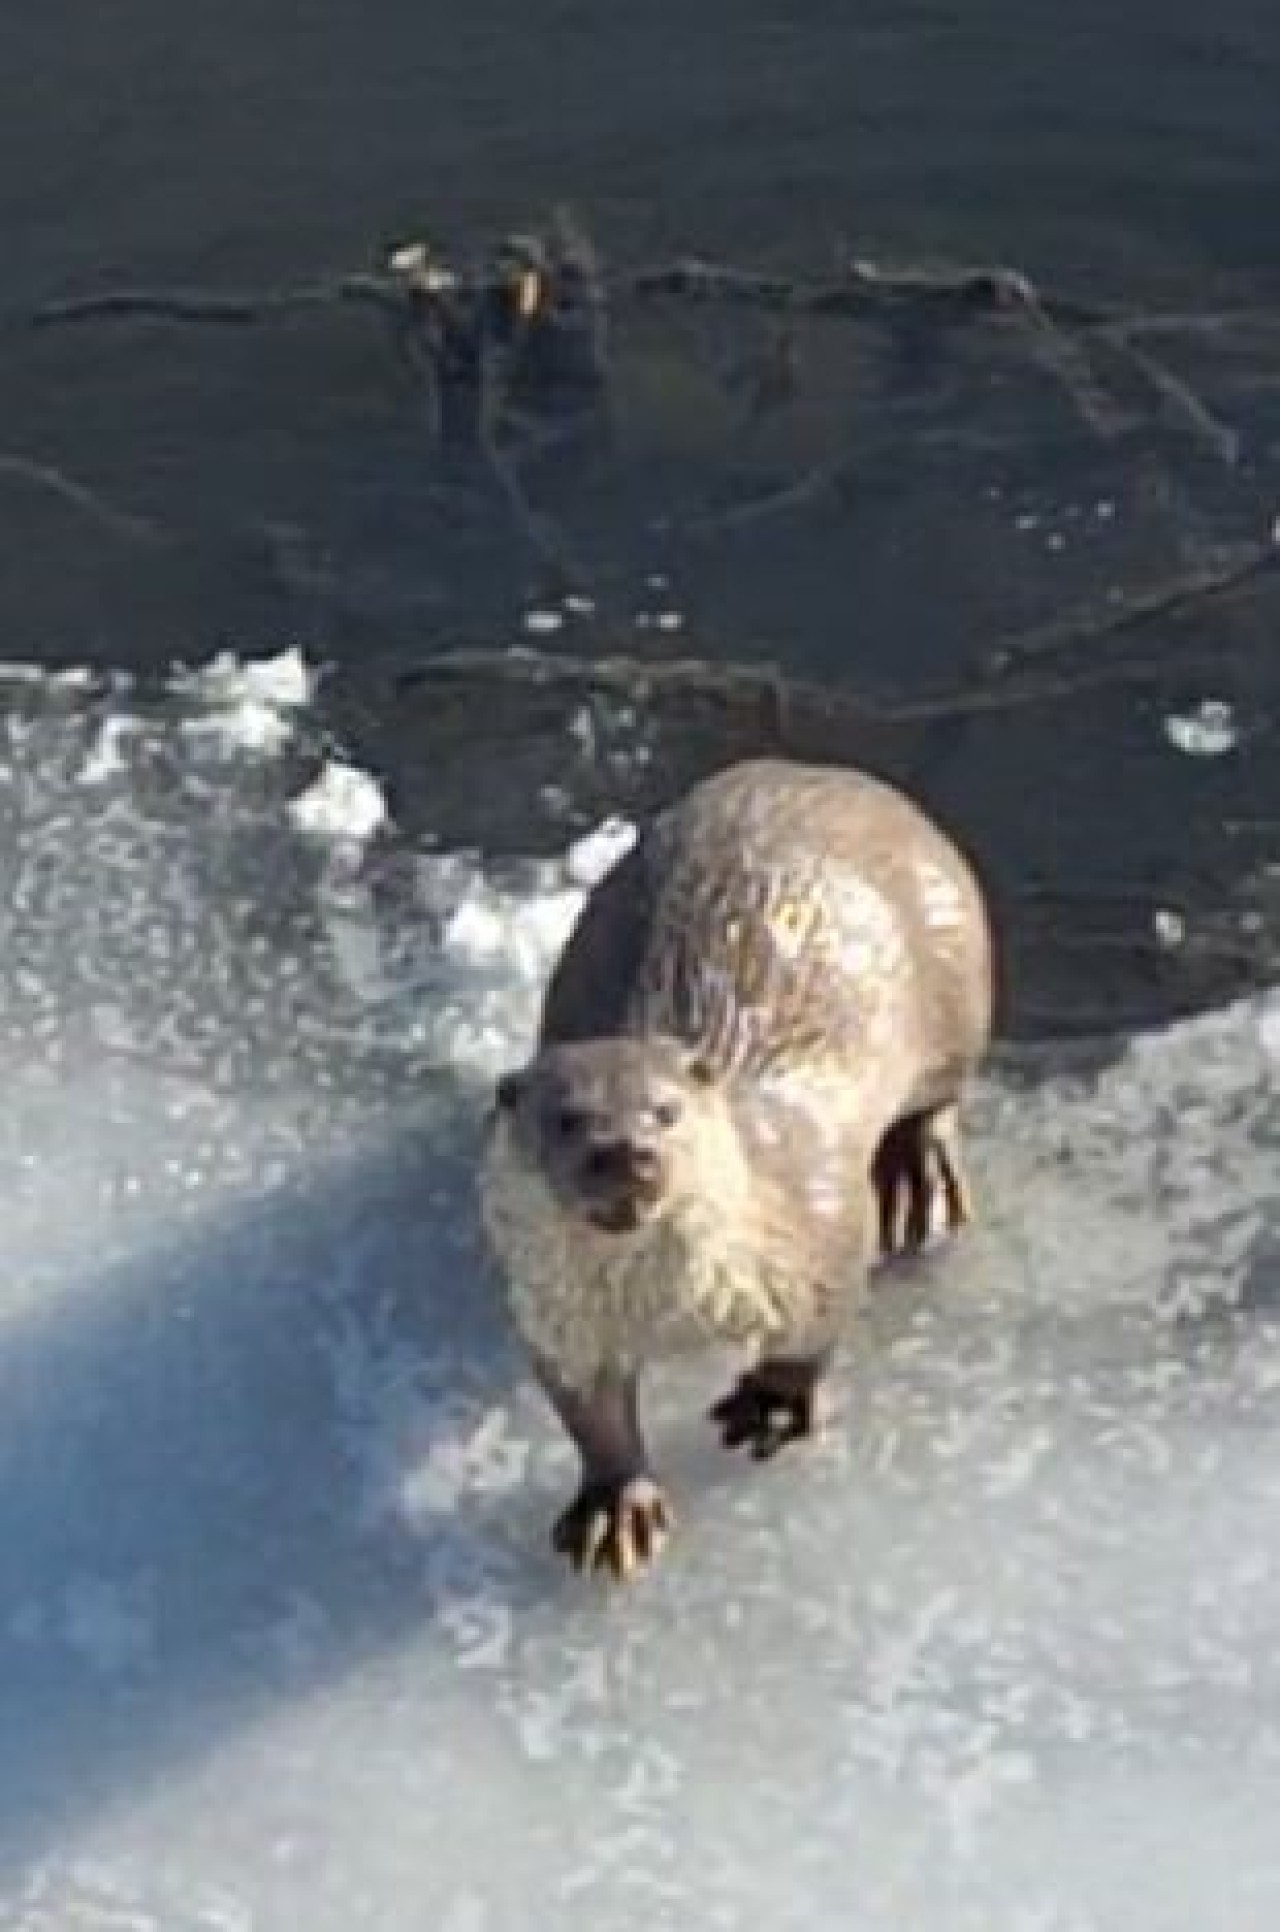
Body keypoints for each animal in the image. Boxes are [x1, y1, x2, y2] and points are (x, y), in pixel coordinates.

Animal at [478, 753, 988, 1584]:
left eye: (666, 1111)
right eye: (566, 1119)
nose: (626, 1153)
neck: (671, 1311)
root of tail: (819, 771)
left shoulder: (820, 1217)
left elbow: (817, 1326)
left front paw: (771, 1405)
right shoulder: (555, 1316)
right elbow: (590, 1414)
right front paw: (614, 1503)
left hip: (954, 965)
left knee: (942, 1091)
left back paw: (920, 1173)